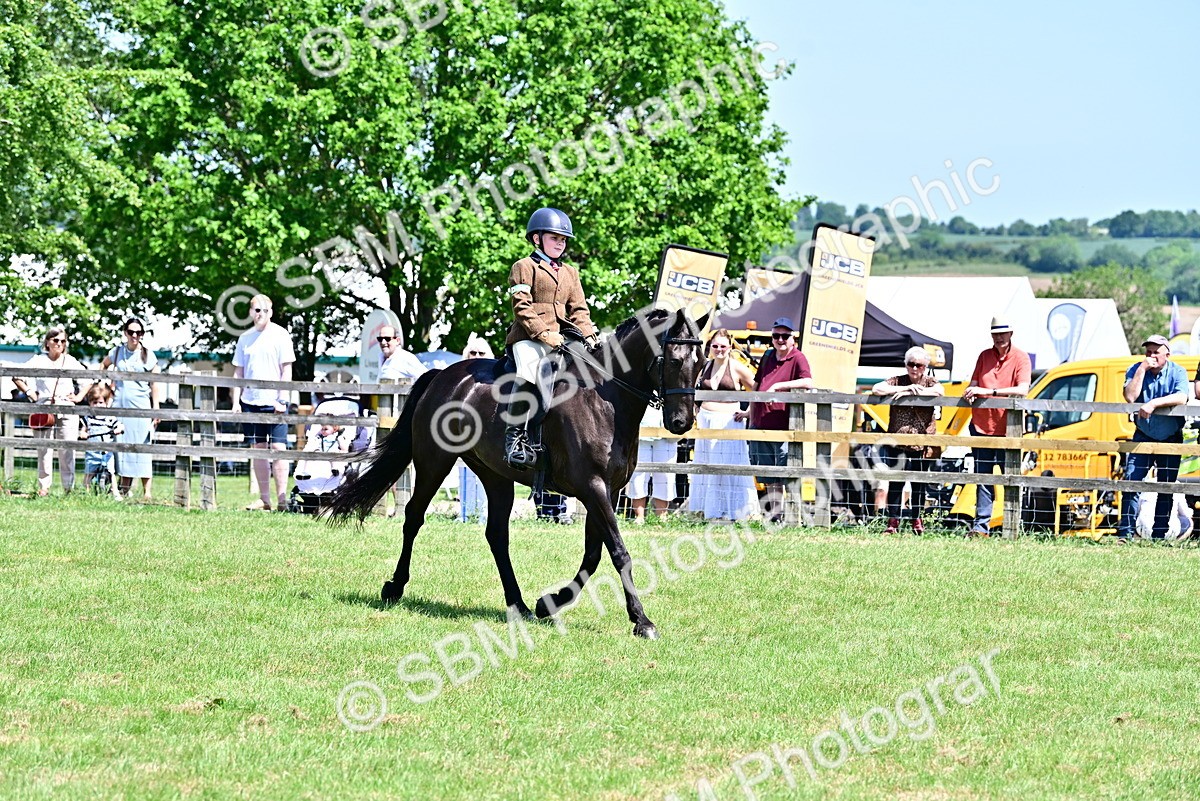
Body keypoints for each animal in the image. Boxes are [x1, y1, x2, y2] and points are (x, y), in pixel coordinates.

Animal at [323, 307, 707, 638]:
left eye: (701, 363)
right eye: (674, 360)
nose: (680, 423)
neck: (604, 398)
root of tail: (442, 376)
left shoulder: (607, 491)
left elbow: (594, 554)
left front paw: (548, 604)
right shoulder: (592, 487)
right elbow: (618, 553)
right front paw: (642, 621)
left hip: (496, 475)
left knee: (497, 535)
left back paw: (519, 605)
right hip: (435, 461)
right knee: (414, 517)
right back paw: (394, 587)